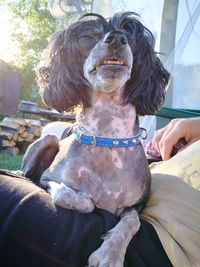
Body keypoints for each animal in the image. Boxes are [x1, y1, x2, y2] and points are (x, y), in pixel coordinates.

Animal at [21, 12, 169, 267]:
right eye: (89, 36)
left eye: (129, 35)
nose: (117, 38)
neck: (106, 138)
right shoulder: (47, 178)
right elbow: (66, 194)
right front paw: (84, 199)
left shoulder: (138, 205)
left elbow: (133, 222)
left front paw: (110, 254)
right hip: (48, 139)